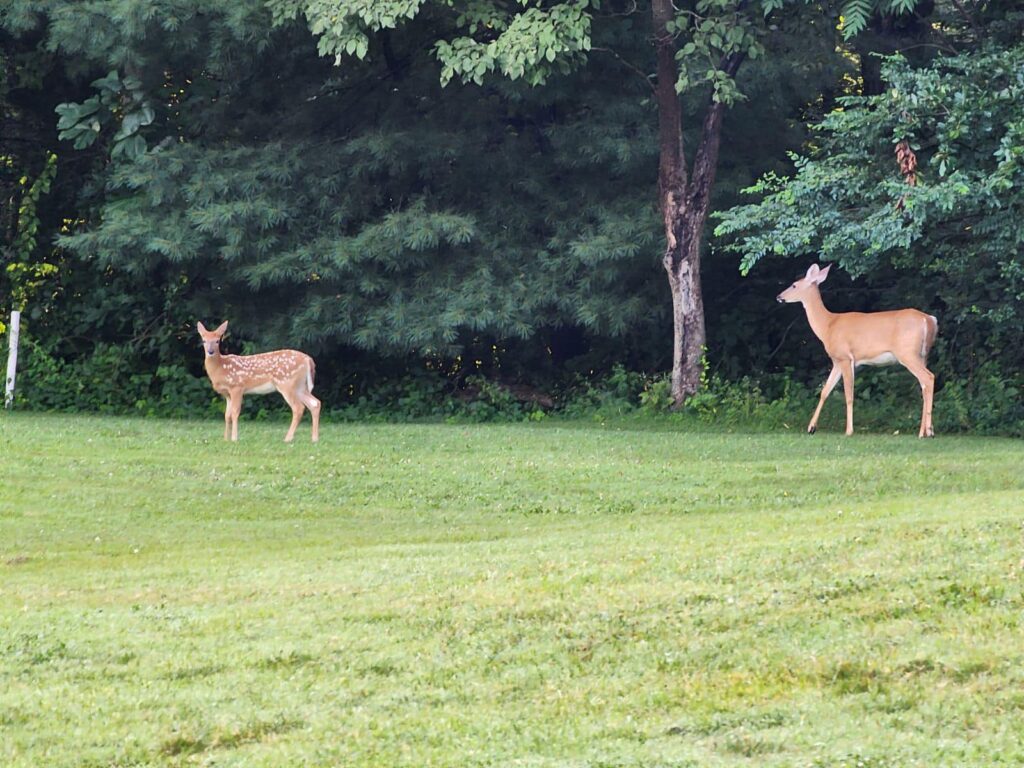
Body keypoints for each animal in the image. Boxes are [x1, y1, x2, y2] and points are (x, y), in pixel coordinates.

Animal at [774, 264, 937, 436]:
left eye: (794, 285)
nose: (779, 296)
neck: (827, 326)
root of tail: (929, 319)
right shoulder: (837, 361)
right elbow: (825, 391)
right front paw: (811, 428)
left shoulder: (845, 357)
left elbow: (849, 395)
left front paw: (849, 430)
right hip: (923, 355)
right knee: (924, 385)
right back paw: (924, 431)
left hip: (907, 353)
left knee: (928, 378)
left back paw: (928, 431)